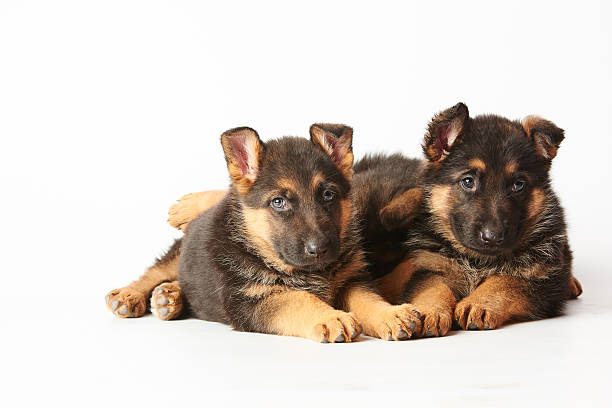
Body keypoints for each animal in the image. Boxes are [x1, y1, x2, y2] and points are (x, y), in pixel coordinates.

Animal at [105, 126, 420, 342]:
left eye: (328, 195)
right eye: (278, 202)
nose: (318, 249)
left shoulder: (352, 281)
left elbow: (369, 300)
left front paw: (390, 315)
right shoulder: (250, 300)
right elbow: (298, 299)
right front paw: (331, 317)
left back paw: (169, 298)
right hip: (179, 253)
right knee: (157, 271)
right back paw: (133, 295)